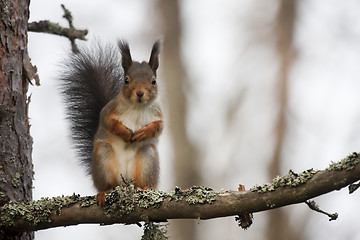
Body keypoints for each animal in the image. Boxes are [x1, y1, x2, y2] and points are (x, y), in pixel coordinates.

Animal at [60, 40, 163, 205]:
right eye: (126, 80)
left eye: (153, 81)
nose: (140, 93)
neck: (137, 107)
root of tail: (125, 183)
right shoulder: (109, 111)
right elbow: (110, 123)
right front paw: (125, 133)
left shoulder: (158, 114)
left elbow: (159, 127)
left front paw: (145, 132)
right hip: (103, 158)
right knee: (107, 184)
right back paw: (104, 192)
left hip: (148, 158)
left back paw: (146, 188)